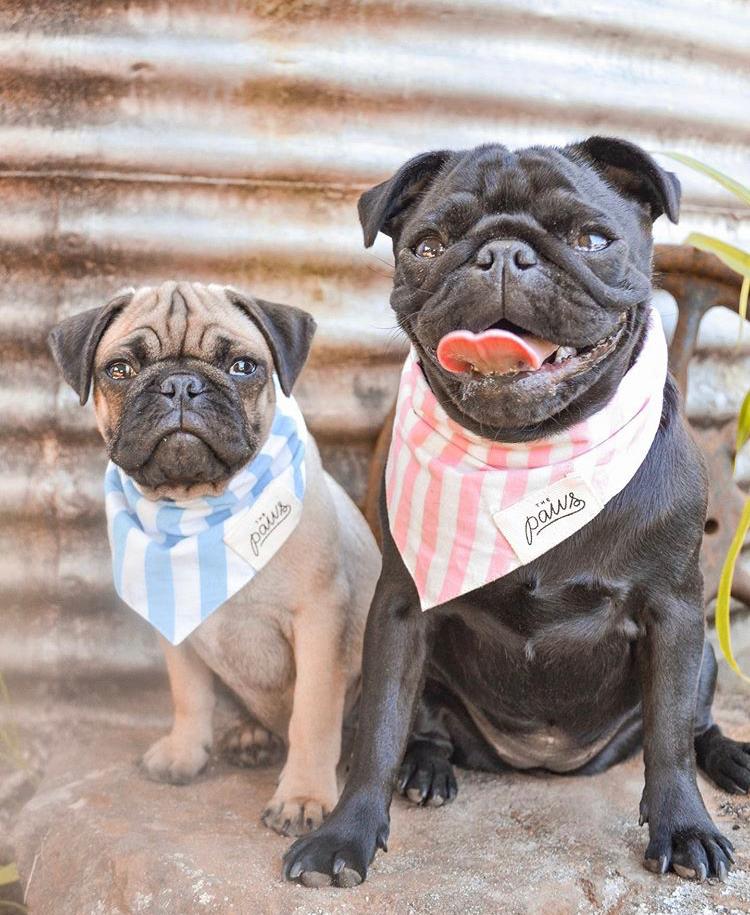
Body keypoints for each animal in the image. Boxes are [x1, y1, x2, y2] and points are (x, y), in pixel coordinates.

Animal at [48, 282, 382, 840]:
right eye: (120, 369)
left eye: (243, 367)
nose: (181, 385)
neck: (199, 508)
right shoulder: (176, 622)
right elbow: (189, 695)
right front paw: (185, 753)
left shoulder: (320, 621)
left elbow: (313, 716)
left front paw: (303, 796)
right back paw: (249, 734)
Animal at [284, 138, 750, 888]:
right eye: (428, 245)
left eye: (592, 240)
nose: (503, 253)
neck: (530, 455)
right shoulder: (401, 608)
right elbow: (380, 728)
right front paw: (345, 834)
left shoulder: (675, 611)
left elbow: (672, 736)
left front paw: (685, 827)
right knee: (423, 724)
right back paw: (426, 768)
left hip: (705, 650)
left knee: (696, 723)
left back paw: (733, 757)